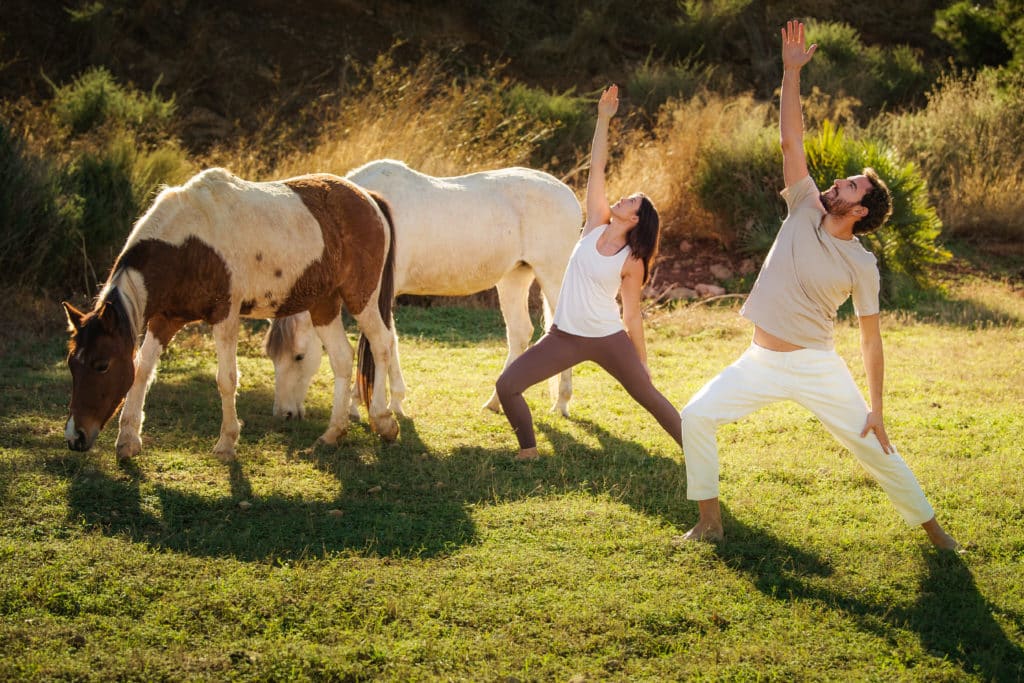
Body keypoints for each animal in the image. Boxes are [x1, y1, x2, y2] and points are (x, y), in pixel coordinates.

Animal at [62, 167, 399, 462]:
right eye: (72, 365)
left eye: (101, 365)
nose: (76, 437)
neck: (188, 242)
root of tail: (367, 198)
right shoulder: (164, 319)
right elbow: (142, 370)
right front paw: (128, 440)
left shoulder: (225, 316)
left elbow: (226, 379)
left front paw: (226, 443)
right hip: (324, 306)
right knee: (342, 358)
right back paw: (332, 433)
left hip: (361, 298)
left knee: (382, 344)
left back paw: (383, 420)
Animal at [266, 158, 585, 419]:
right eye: (271, 355)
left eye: (298, 356)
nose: (285, 414)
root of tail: (567, 194)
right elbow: (390, 340)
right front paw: (392, 402)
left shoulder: (377, 293)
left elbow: (382, 341)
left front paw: (367, 404)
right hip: (514, 277)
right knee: (519, 334)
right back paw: (496, 401)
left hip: (553, 274)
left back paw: (561, 403)